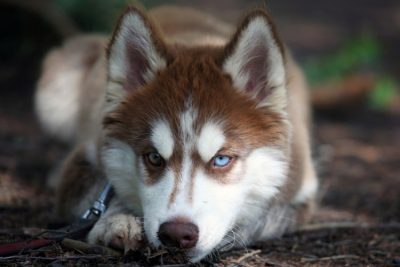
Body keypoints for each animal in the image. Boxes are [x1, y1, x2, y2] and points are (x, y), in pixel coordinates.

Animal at [34, 5, 318, 262]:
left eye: (222, 159)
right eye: (154, 157)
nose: (177, 234)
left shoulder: (301, 189)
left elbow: (267, 216)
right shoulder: (85, 161)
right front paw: (117, 221)